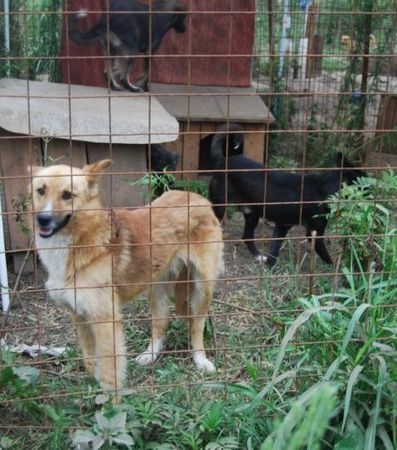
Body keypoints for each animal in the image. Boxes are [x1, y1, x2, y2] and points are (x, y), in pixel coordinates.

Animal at [30, 160, 223, 388]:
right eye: (40, 191)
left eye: (67, 194)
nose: (42, 219)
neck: (81, 240)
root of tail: (197, 197)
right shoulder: (80, 316)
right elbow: (89, 359)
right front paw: (92, 385)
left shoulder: (105, 319)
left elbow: (109, 370)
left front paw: (110, 396)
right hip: (157, 287)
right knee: (161, 323)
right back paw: (150, 355)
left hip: (203, 286)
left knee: (197, 324)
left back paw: (200, 359)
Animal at [207, 124, 366, 268]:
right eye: (366, 183)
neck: (326, 188)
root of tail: (223, 161)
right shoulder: (314, 232)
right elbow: (326, 256)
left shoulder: (283, 225)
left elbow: (274, 250)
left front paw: (269, 267)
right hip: (220, 207)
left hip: (252, 214)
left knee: (247, 236)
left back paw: (258, 256)